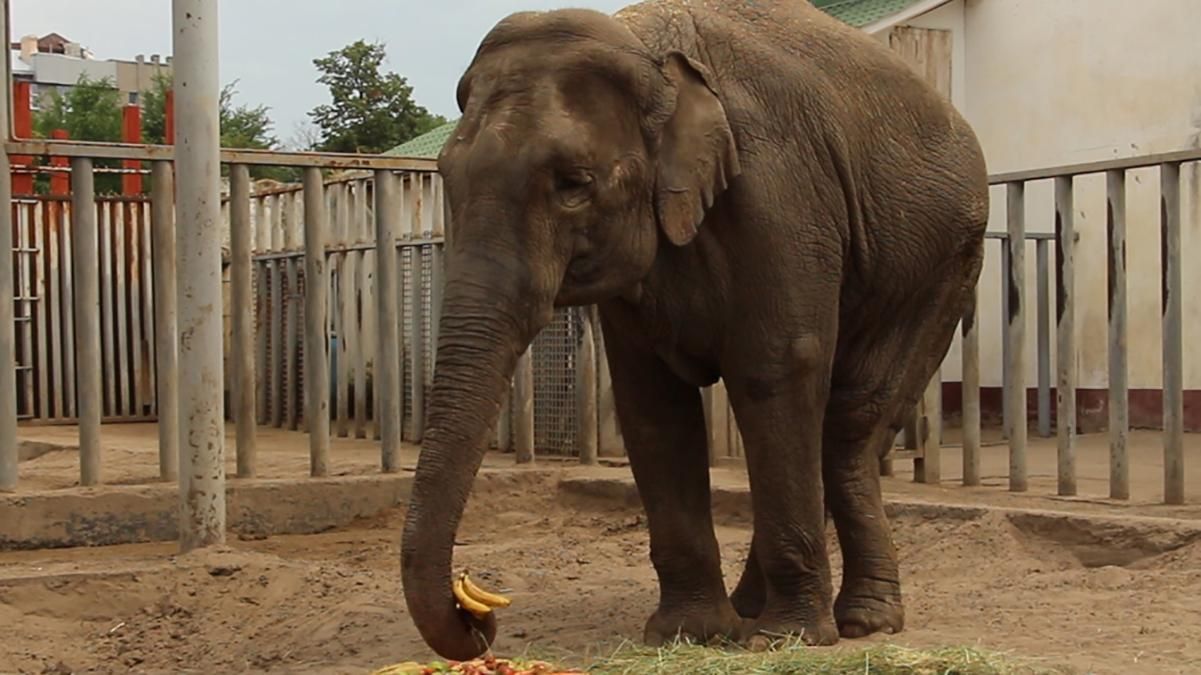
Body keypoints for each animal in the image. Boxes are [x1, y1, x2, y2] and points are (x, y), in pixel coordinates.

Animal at [398, 0, 989, 662]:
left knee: (849, 422)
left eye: (574, 184)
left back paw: (862, 621)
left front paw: (785, 640)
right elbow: (653, 405)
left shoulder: (780, 194)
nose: (481, 613)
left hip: (943, 265)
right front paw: (690, 634)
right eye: (446, 178)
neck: (650, 52)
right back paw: (757, 607)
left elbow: (775, 370)